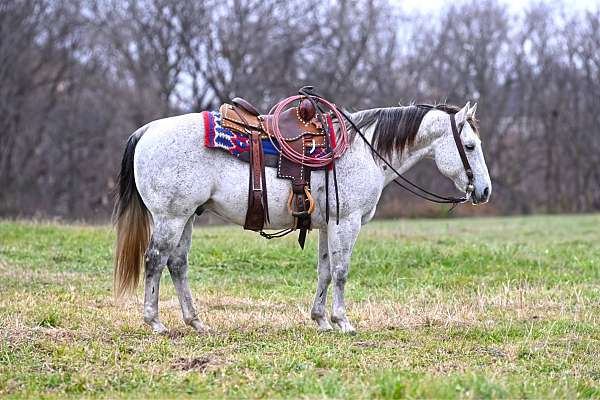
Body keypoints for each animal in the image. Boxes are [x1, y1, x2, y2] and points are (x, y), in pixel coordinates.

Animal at [112, 100, 492, 334]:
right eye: (469, 146)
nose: (485, 191)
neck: (363, 150)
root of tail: (147, 130)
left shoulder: (327, 224)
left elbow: (324, 271)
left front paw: (321, 320)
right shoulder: (347, 222)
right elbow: (341, 271)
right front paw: (343, 321)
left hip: (187, 216)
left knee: (177, 264)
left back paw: (196, 322)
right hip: (171, 217)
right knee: (155, 260)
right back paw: (155, 322)